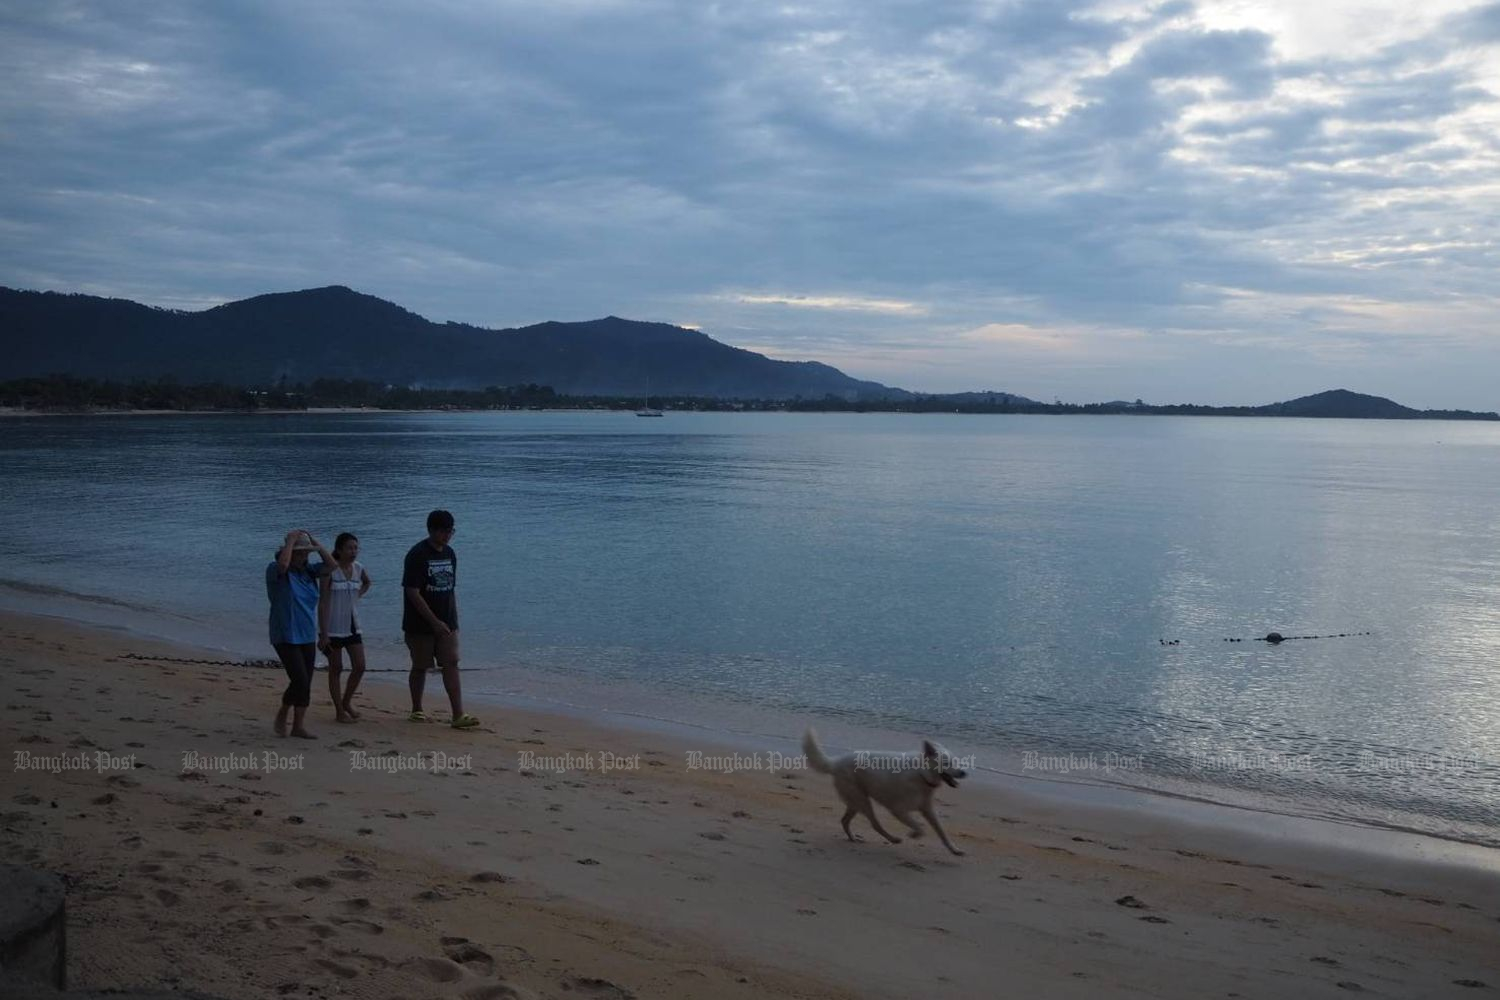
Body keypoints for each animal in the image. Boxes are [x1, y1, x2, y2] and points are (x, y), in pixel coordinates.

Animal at [804, 731, 966, 857]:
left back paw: (853, 838)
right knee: (875, 824)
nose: (964, 772)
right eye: (946, 763)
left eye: (956, 761)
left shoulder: (927, 810)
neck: (921, 773)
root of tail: (835, 762)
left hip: (856, 802)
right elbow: (920, 827)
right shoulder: (897, 810)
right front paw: (914, 834)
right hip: (863, 801)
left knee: (845, 821)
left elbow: (942, 832)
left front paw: (954, 850)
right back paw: (893, 839)